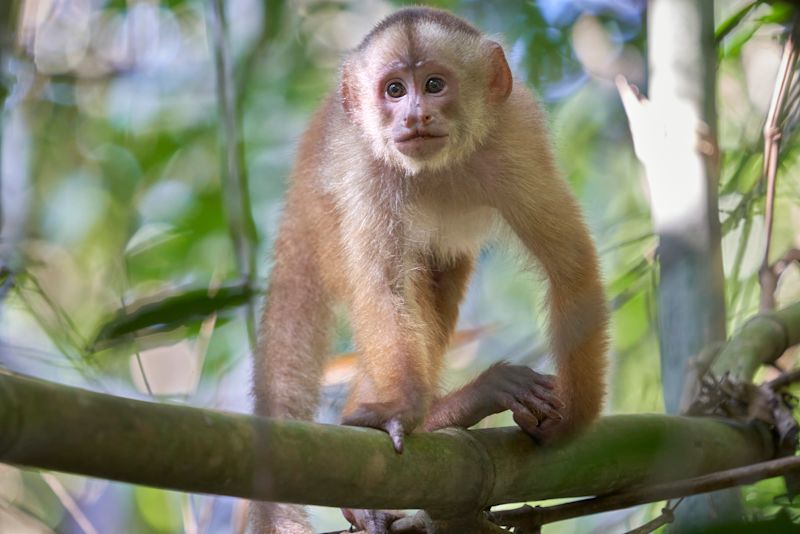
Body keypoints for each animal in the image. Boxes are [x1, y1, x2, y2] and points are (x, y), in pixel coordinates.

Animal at [253, 5, 608, 534]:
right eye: (395, 90)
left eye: (435, 84)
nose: (415, 115)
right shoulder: (365, 169)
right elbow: (385, 289)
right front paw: (401, 411)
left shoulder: (515, 136)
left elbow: (570, 266)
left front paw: (573, 419)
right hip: (323, 225)